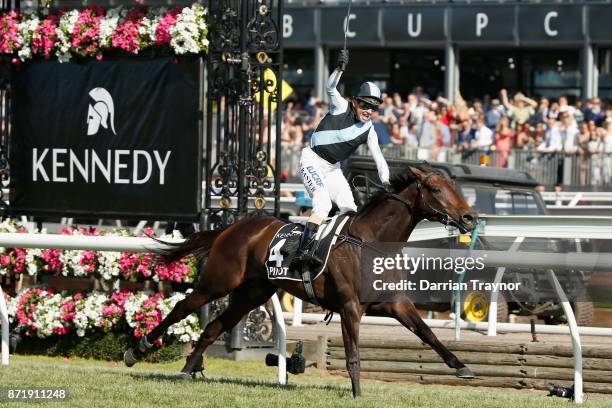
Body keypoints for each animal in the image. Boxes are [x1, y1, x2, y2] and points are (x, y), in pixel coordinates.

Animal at [124, 163, 478, 396]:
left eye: (455, 187)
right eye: (436, 189)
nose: (470, 217)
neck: (370, 241)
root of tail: (233, 225)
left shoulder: (395, 304)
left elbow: (428, 334)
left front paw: (462, 366)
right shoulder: (350, 308)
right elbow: (353, 354)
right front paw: (357, 393)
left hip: (251, 293)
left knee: (213, 327)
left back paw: (186, 370)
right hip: (218, 282)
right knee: (181, 308)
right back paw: (138, 349)